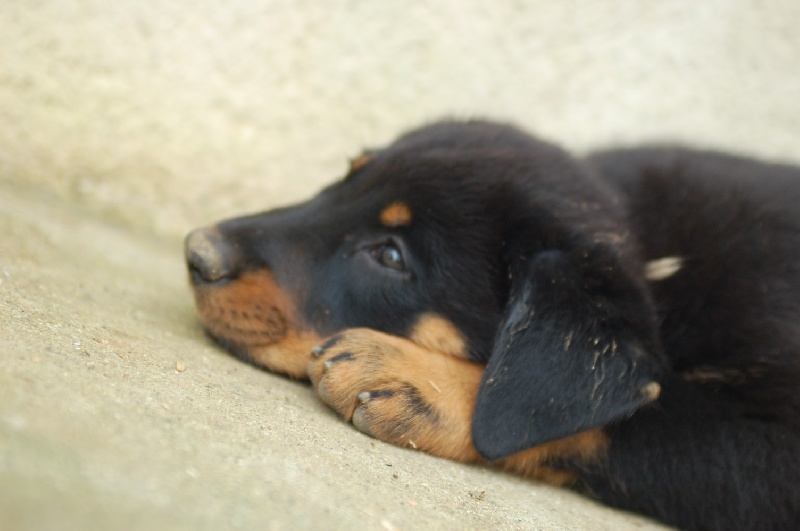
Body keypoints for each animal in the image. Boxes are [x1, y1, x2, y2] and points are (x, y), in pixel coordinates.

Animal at [184, 121, 800, 531]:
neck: (661, 265)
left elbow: (613, 420)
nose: (197, 253)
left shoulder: (764, 461)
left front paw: (418, 382)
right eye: (343, 179)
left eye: (390, 255)